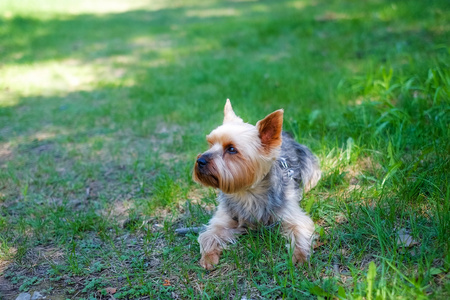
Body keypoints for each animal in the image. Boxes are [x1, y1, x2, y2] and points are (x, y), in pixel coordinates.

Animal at [193, 100, 320, 270]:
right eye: (210, 144)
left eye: (231, 149)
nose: (200, 161)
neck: (246, 192)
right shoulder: (223, 219)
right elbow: (209, 234)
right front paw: (208, 256)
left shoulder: (291, 215)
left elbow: (300, 230)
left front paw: (300, 257)